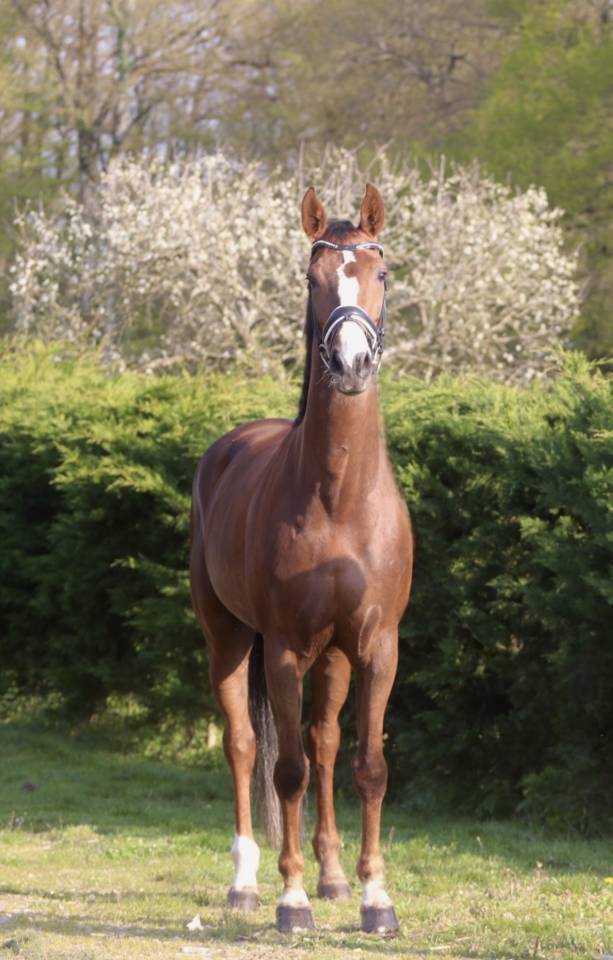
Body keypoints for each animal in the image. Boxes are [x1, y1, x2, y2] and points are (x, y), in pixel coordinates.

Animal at [190, 183, 413, 935]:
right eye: (312, 280)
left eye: (382, 274)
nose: (350, 364)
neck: (339, 499)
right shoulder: (284, 647)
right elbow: (283, 770)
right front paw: (291, 902)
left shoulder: (376, 646)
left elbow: (367, 765)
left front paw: (375, 898)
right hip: (229, 637)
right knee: (245, 746)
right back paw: (245, 884)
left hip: (335, 657)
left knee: (321, 745)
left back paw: (334, 877)